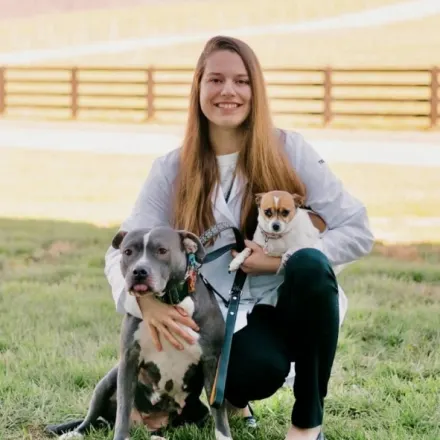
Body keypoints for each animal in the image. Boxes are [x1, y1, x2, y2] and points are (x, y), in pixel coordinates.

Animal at [46, 227, 234, 440]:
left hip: (198, 413)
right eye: (128, 252)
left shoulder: (212, 363)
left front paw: (224, 436)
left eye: (162, 250)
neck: (167, 302)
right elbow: (123, 411)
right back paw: (74, 433)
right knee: (92, 418)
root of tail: (146, 425)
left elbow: (218, 411)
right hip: (106, 382)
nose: (139, 271)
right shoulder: (129, 359)